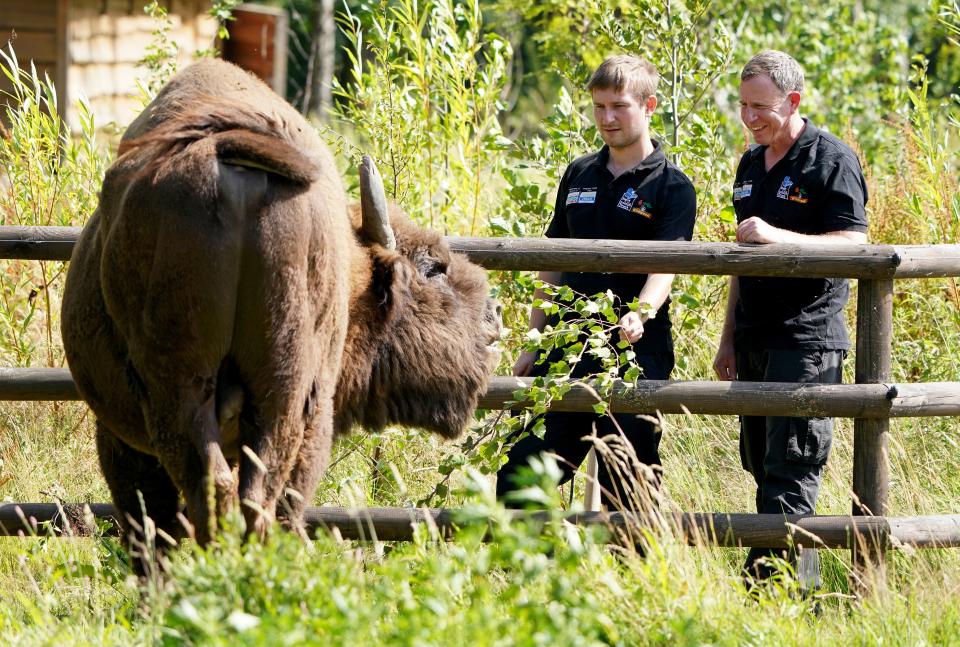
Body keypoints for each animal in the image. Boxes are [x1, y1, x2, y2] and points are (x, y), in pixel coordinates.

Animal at [62, 58, 502, 548]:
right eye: (434, 267)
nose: (493, 315)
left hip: (202, 393)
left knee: (224, 494)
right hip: (283, 397)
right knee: (247, 500)